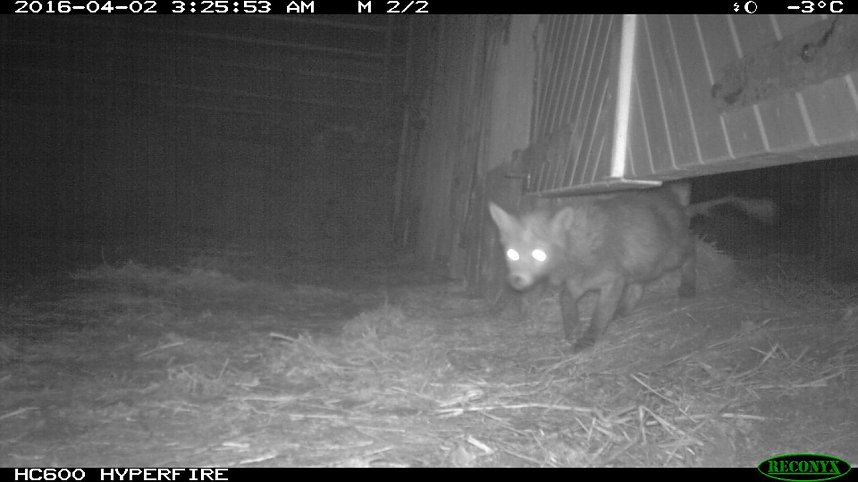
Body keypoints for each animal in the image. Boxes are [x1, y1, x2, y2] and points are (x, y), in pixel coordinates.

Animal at [488, 182, 775, 351]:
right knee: (639, 288)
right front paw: (572, 329)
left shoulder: (611, 280)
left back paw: (688, 286)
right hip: (644, 265)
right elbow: (566, 304)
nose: (516, 281)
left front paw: (588, 339)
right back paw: (624, 310)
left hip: (671, 256)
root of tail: (670, 194)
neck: (578, 247)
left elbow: (598, 315)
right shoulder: (577, 285)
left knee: (692, 250)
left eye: (539, 254)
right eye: (512, 253)